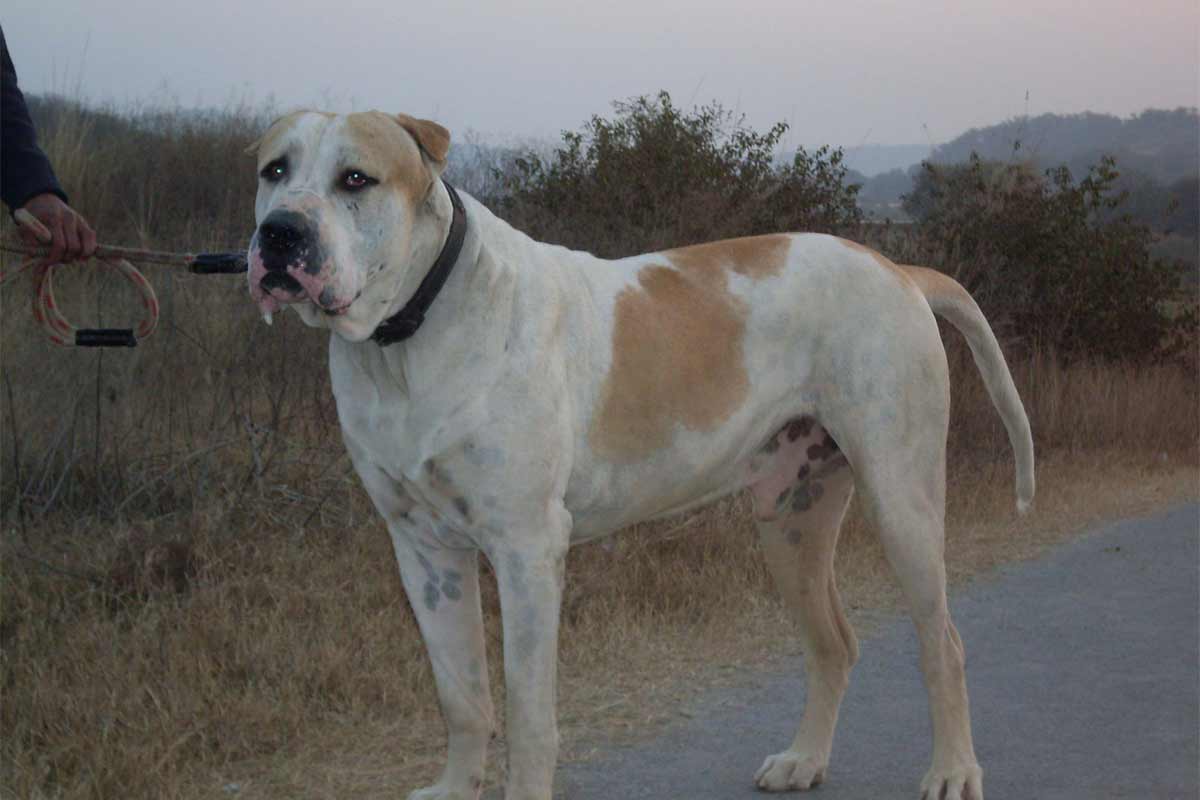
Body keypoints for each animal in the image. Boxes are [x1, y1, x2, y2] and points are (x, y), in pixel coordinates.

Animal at [248, 107, 1036, 800]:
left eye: (356, 178)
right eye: (274, 169)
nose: (279, 233)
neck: (406, 341)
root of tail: (896, 266)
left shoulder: (526, 550)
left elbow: (528, 714)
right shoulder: (423, 551)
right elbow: (463, 698)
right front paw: (453, 787)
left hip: (902, 500)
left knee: (943, 644)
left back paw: (953, 771)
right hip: (791, 519)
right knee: (832, 643)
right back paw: (804, 760)